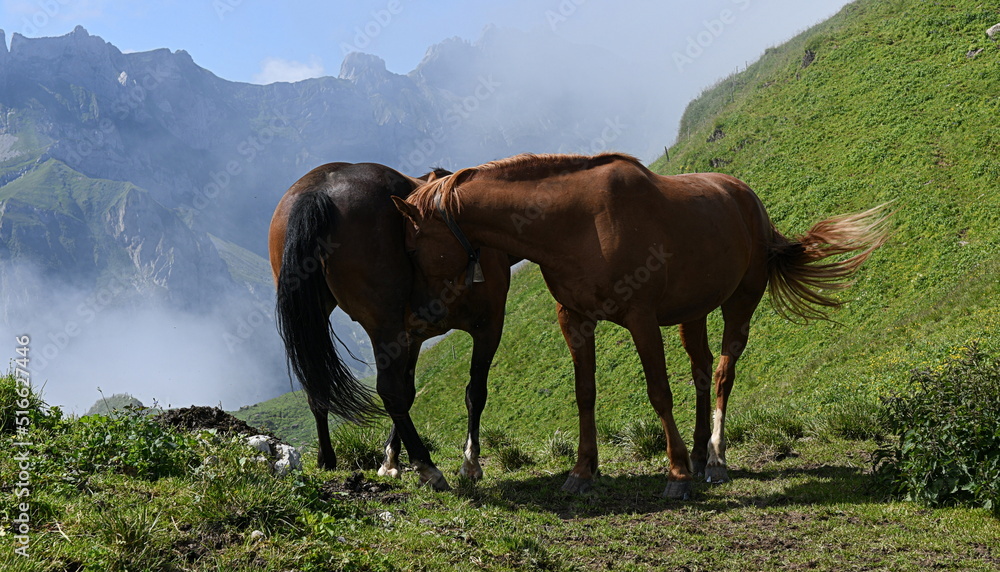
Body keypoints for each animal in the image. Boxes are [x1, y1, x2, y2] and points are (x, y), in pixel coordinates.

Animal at [270, 161, 512, 488]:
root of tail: (318, 191)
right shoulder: (489, 324)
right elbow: (474, 392)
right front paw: (470, 463)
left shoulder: (412, 336)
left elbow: (409, 392)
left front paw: (390, 460)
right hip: (382, 323)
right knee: (388, 390)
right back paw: (427, 466)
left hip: (317, 319)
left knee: (319, 385)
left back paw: (327, 459)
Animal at [394, 151, 888, 496]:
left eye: (414, 249)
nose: (415, 317)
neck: (578, 223)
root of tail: (750, 202)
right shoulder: (575, 320)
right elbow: (585, 394)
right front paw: (582, 472)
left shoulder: (641, 319)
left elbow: (659, 392)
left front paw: (676, 476)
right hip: (693, 313)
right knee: (702, 371)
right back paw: (698, 454)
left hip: (740, 304)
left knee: (723, 373)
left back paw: (714, 460)